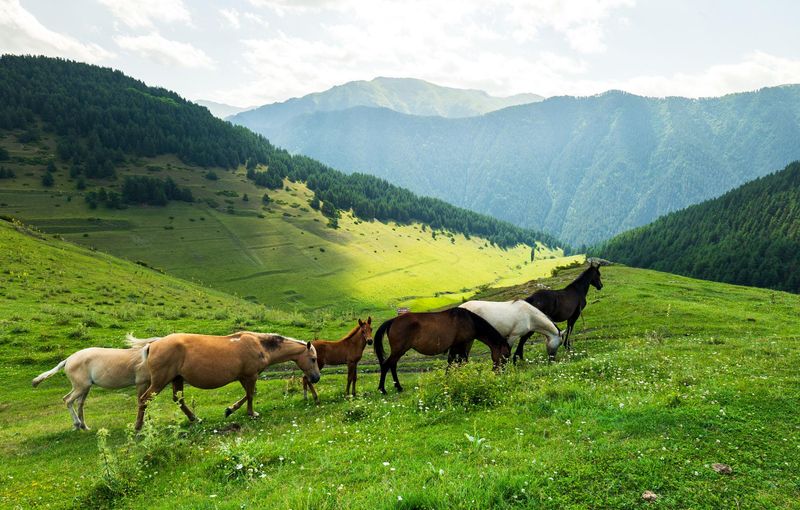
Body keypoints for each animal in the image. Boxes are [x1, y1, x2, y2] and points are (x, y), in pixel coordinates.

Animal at [31, 334, 160, 430]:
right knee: (68, 400)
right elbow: (143, 402)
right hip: (81, 387)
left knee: (78, 403)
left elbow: (148, 402)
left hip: (83, 387)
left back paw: (84, 427)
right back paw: (77, 425)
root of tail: (68, 360)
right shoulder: (141, 383)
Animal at [134, 332, 320, 431]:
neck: (260, 346)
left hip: (176, 379)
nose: (316, 378)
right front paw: (251, 413)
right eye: (313, 359)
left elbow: (248, 394)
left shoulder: (244, 377)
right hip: (160, 381)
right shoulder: (251, 376)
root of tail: (153, 345)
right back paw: (138, 428)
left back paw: (195, 418)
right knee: (144, 400)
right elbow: (251, 395)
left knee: (178, 400)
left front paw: (230, 410)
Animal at [373, 307, 510, 394]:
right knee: (386, 365)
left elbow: (453, 363)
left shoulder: (455, 347)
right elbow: (461, 362)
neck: (469, 321)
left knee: (392, 365)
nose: (500, 373)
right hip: (399, 350)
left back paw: (398, 387)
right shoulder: (460, 345)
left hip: (399, 351)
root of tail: (393, 321)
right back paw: (383, 389)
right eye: (505, 356)